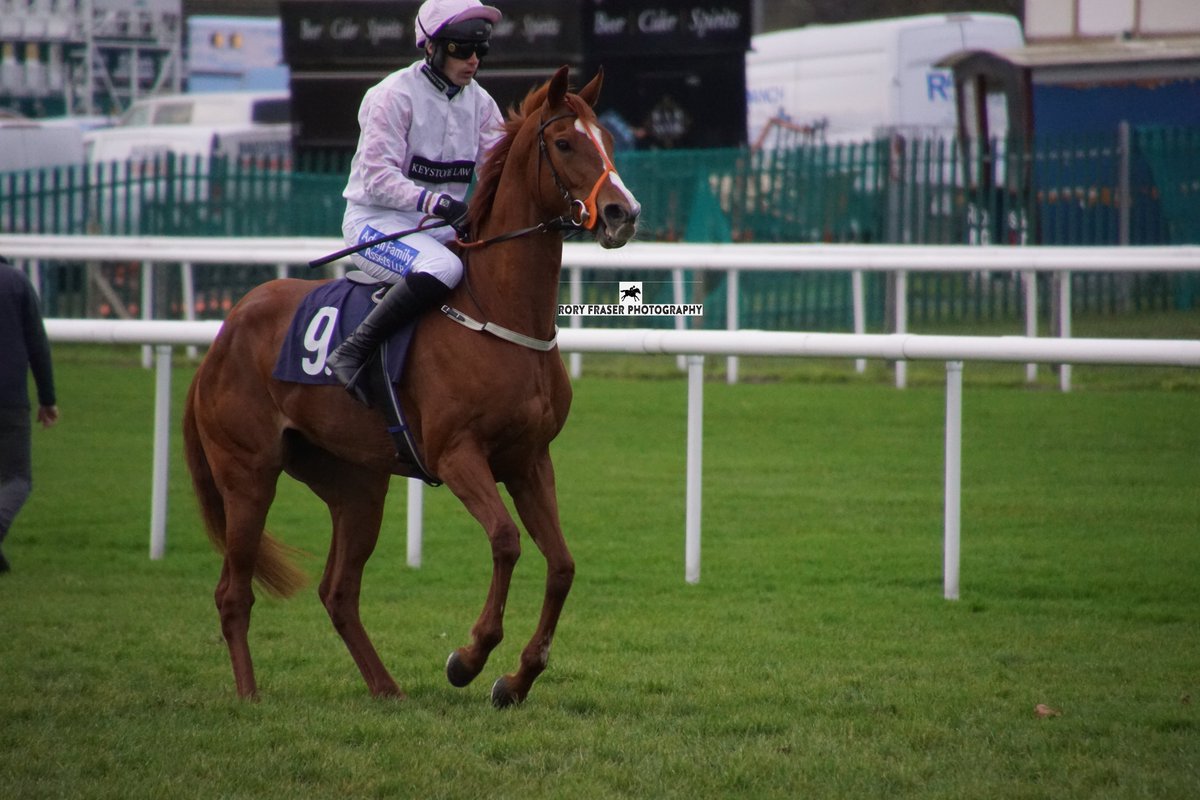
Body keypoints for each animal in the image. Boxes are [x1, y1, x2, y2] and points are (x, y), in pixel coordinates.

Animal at [180, 68, 638, 705]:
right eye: (566, 143)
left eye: (609, 142)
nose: (623, 213)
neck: (498, 312)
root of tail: (221, 338)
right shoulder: (456, 455)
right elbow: (506, 540)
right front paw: (469, 657)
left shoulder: (529, 459)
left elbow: (563, 564)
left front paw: (516, 679)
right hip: (247, 476)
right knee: (233, 592)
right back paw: (250, 695)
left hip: (357, 484)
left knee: (338, 591)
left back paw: (385, 688)